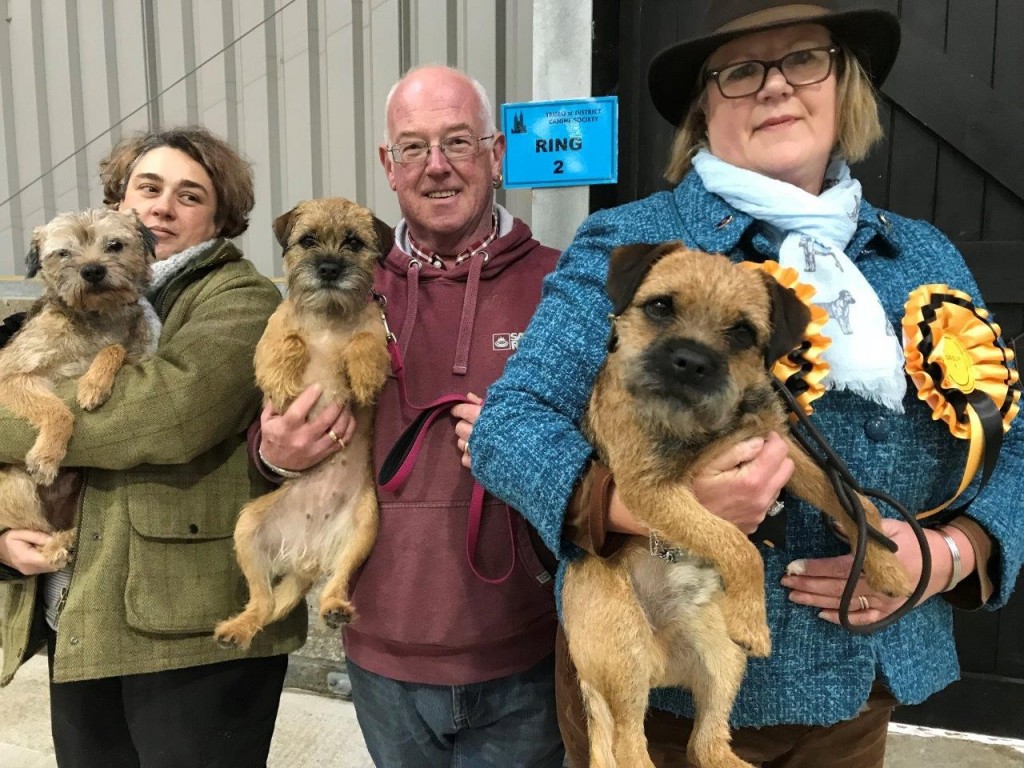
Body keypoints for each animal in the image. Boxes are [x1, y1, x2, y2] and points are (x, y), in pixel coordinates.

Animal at [0, 208, 159, 567]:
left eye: (115, 245)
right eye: (63, 253)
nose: (93, 270)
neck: (96, 316)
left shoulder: (136, 354)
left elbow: (115, 349)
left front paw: (93, 384)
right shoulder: (11, 375)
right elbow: (58, 411)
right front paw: (46, 455)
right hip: (13, 487)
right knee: (34, 531)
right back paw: (60, 545)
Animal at [214, 197, 393, 650]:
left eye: (353, 243)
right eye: (308, 240)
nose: (329, 268)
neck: (329, 320)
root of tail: (307, 555)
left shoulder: (377, 333)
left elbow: (366, 341)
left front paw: (362, 373)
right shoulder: (269, 339)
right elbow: (287, 337)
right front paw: (282, 377)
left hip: (365, 526)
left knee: (336, 583)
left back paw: (334, 609)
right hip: (247, 528)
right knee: (260, 601)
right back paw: (237, 628)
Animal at [561, 243, 912, 768]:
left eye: (743, 332)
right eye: (660, 306)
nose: (690, 361)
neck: (708, 423)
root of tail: (662, 663)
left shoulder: (785, 449)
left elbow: (852, 503)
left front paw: (888, 564)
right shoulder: (649, 489)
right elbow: (735, 543)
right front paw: (754, 619)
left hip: (723, 660)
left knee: (704, 744)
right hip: (624, 651)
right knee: (628, 745)